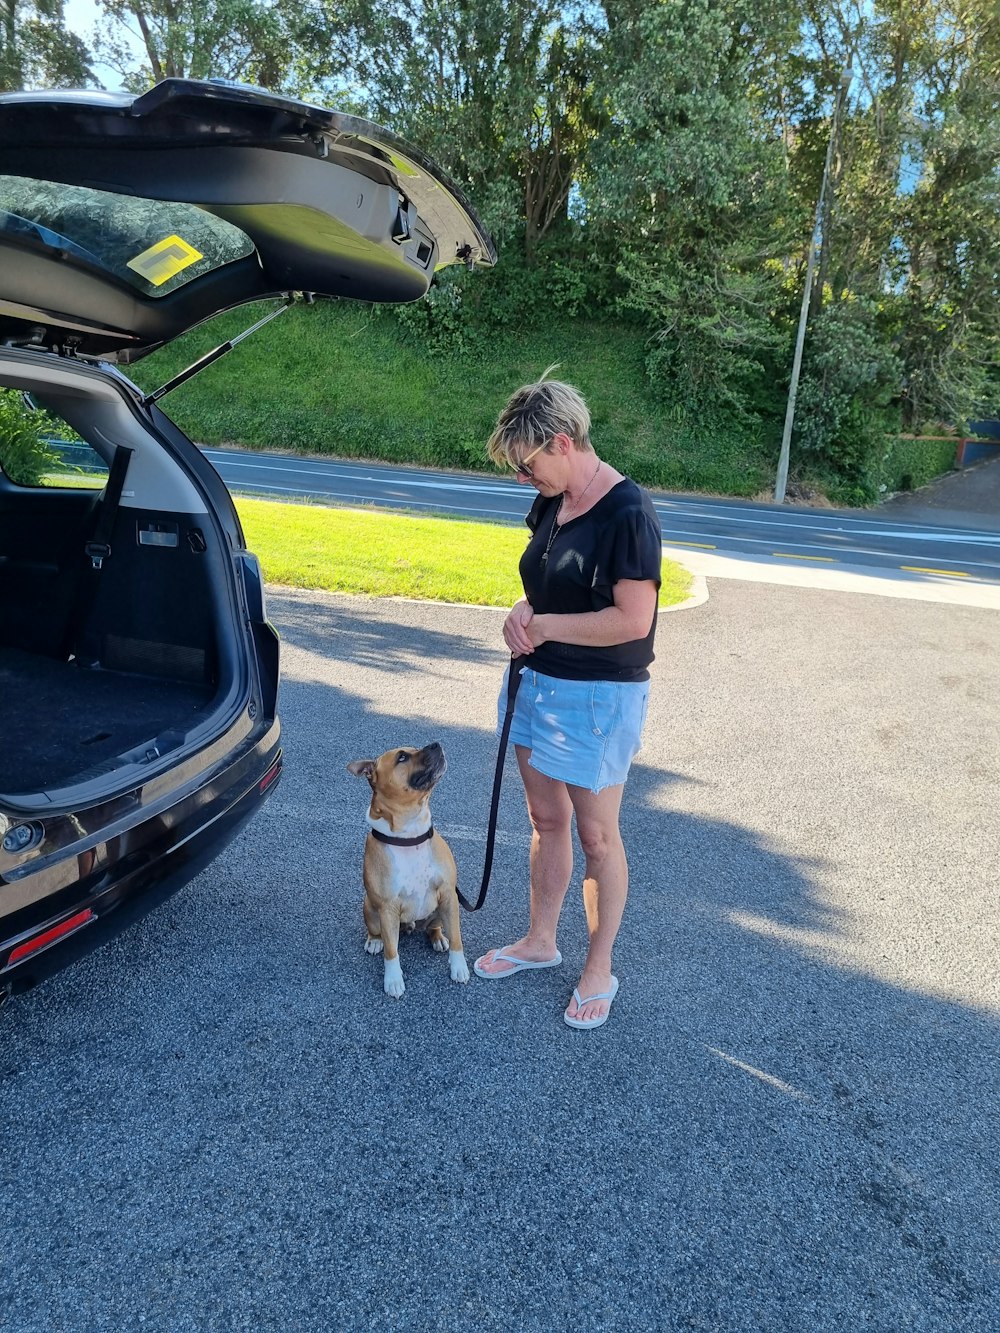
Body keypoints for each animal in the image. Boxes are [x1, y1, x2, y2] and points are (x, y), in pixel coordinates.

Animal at [346, 741, 472, 1002]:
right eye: (402, 757)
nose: (435, 743)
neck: (410, 835)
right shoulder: (387, 908)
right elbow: (391, 951)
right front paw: (393, 980)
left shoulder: (449, 896)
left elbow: (457, 937)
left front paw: (459, 967)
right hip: (370, 907)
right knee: (378, 934)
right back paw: (374, 942)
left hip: (440, 911)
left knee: (434, 927)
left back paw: (438, 938)